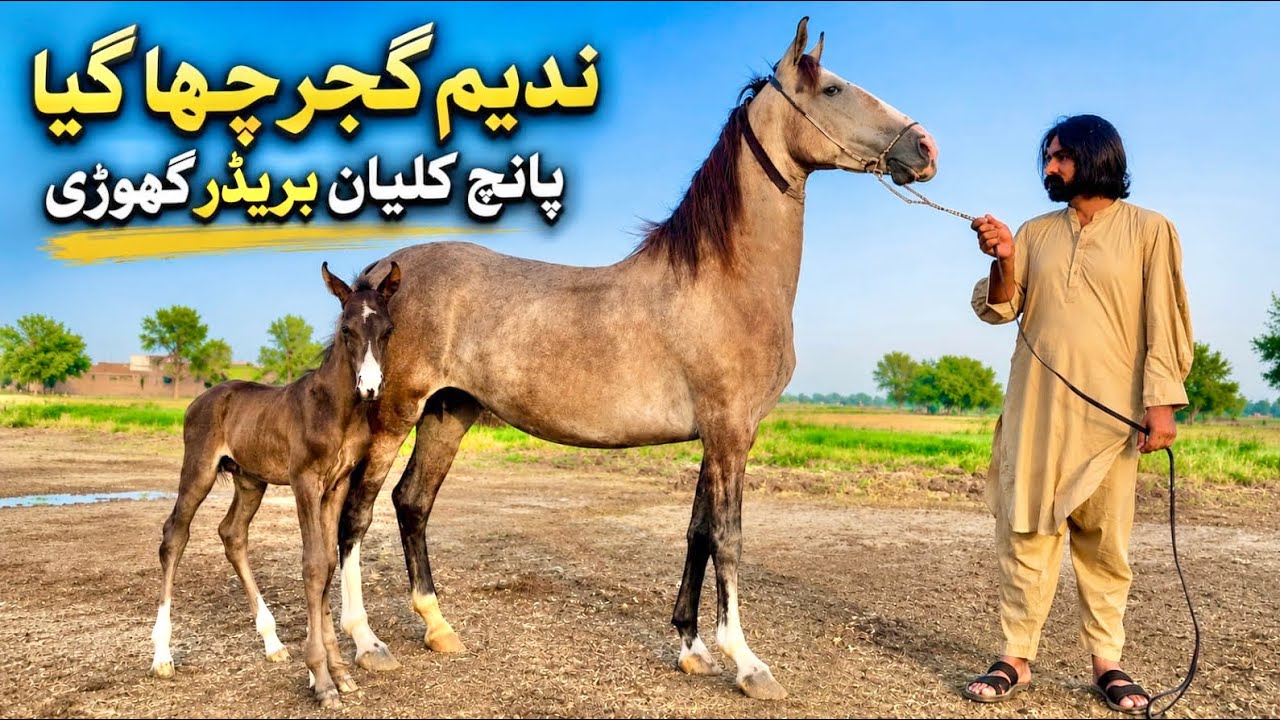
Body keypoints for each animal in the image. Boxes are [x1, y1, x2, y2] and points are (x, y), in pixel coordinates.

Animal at [149, 261, 401, 709]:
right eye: (346, 329)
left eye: (387, 329)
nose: (370, 388)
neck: (335, 409)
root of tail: (202, 398)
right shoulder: (305, 482)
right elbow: (313, 565)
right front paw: (321, 678)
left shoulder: (336, 485)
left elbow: (328, 563)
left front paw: (337, 672)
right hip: (198, 469)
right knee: (174, 535)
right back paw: (162, 654)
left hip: (250, 481)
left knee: (232, 533)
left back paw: (272, 642)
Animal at [335, 16, 938, 700]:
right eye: (833, 88)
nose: (925, 148)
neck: (724, 282)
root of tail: (378, 276)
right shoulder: (730, 433)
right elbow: (728, 539)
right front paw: (747, 662)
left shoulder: (719, 436)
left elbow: (698, 533)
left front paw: (693, 648)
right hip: (394, 414)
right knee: (355, 513)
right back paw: (365, 642)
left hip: (448, 413)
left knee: (412, 502)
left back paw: (439, 628)